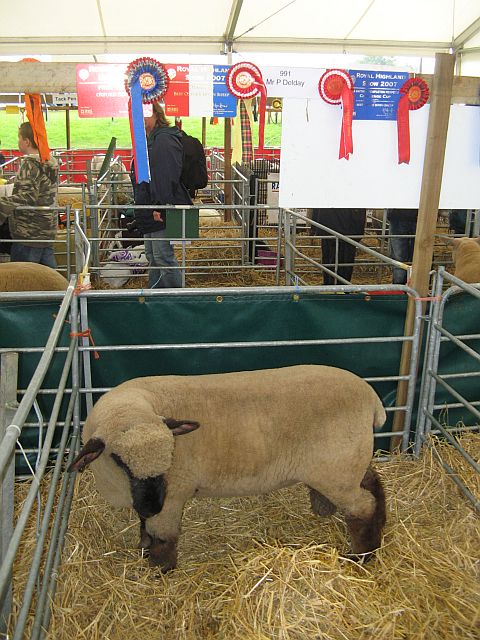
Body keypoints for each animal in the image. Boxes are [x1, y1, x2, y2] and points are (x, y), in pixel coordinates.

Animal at [69, 364, 388, 568]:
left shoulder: (172, 496)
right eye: (118, 459)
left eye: (170, 454)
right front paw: (143, 543)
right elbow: (145, 526)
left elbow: (162, 537)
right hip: (348, 462)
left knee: (362, 507)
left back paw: (361, 556)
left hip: (336, 471)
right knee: (373, 483)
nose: (151, 506)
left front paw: (160, 570)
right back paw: (379, 529)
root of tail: (372, 399)